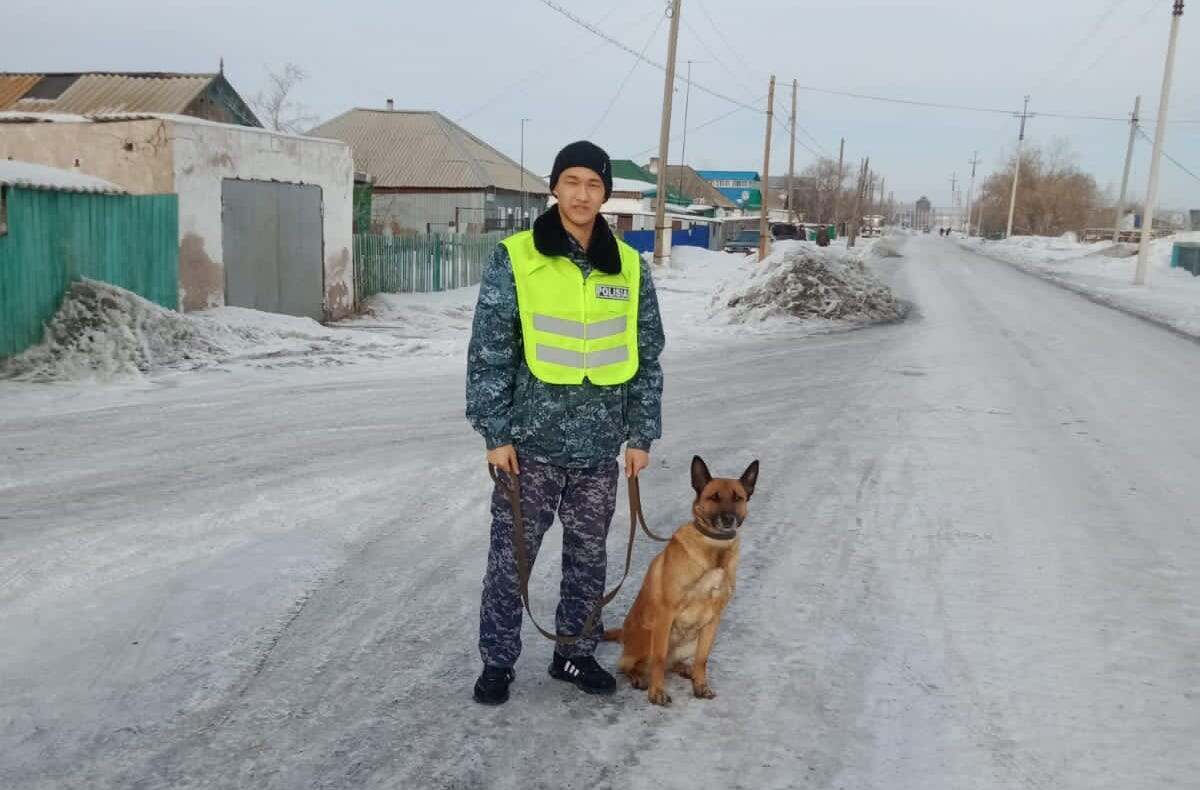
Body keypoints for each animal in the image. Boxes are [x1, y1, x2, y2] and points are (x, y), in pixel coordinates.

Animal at [600, 451, 758, 705]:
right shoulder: (666, 614)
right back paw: (638, 677)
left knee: (674, 663)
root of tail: (624, 634)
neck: (715, 548)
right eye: (714, 497)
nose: (728, 519)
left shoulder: (713, 619)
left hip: (693, 639)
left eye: (738, 498)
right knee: (631, 664)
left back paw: (686, 669)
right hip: (648, 635)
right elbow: (658, 658)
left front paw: (700, 685)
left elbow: (702, 659)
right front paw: (656, 693)